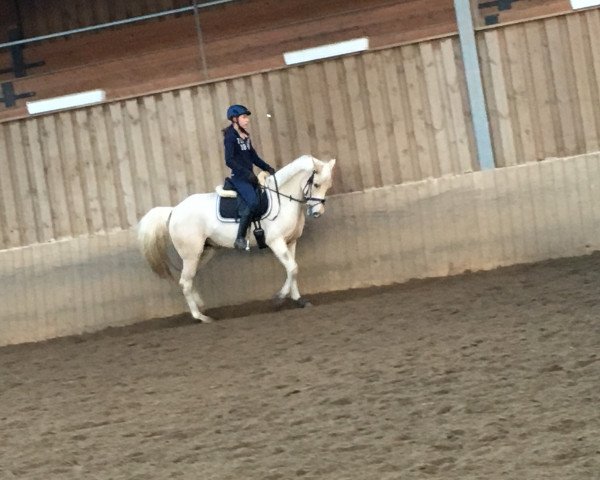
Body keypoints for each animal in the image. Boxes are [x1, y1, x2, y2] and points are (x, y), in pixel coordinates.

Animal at [138, 156, 340, 324]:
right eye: (316, 184)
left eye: (328, 185)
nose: (317, 213)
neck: (282, 199)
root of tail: (174, 210)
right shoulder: (276, 242)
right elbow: (292, 268)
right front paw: (279, 298)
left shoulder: (291, 242)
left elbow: (294, 269)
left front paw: (299, 299)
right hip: (191, 254)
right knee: (185, 282)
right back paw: (201, 317)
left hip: (204, 252)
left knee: (188, 278)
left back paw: (201, 306)